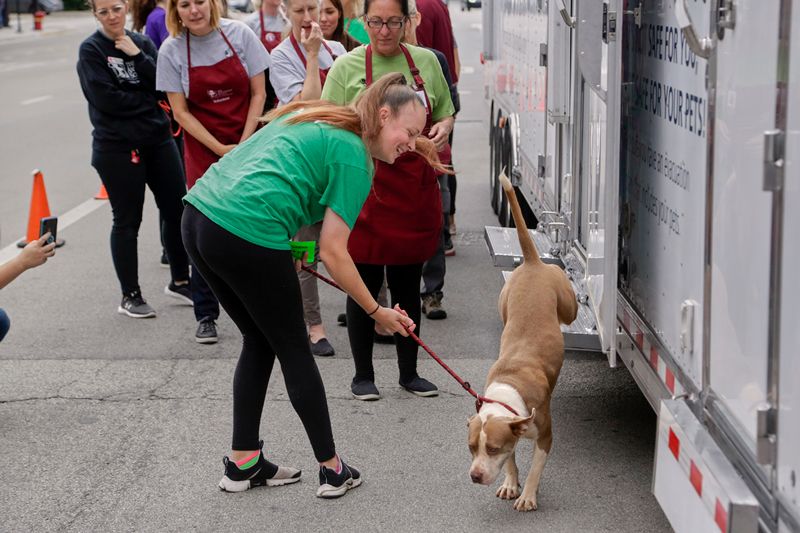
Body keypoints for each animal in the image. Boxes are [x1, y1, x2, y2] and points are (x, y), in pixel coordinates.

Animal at [466, 172, 580, 510]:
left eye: (491, 449)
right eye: (471, 447)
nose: (475, 475)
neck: (509, 390)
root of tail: (531, 263)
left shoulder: (545, 435)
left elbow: (536, 467)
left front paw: (528, 495)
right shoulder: (512, 435)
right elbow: (513, 460)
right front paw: (510, 484)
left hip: (566, 303)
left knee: (571, 309)